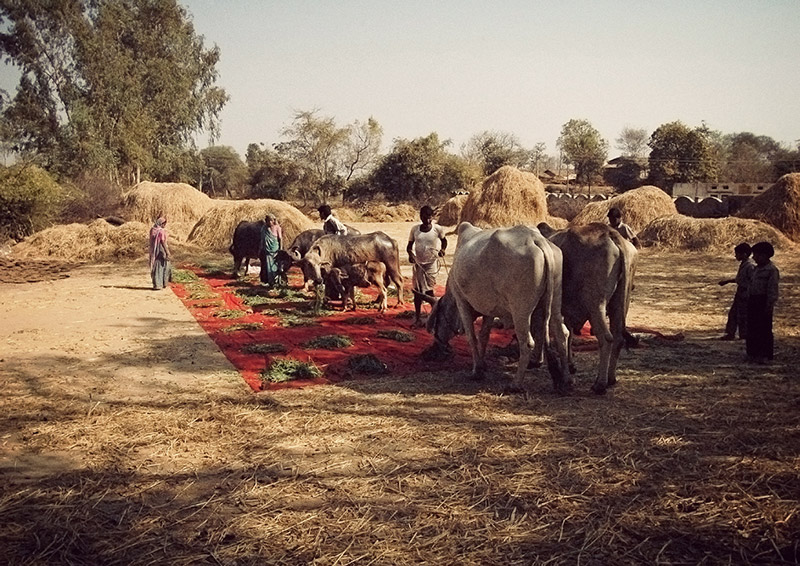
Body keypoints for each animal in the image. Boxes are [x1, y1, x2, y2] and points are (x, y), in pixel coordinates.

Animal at [424, 222, 570, 393]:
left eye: (437, 322)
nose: (436, 346)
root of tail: (536, 239)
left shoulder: (462, 302)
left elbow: (472, 337)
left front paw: (477, 371)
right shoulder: (490, 310)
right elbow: (484, 336)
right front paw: (483, 365)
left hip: (520, 310)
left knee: (527, 342)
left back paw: (515, 384)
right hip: (555, 301)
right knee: (561, 334)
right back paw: (566, 380)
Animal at [538, 222, 637, 395]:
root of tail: (612, 234)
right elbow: (569, 335)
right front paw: (570, 365)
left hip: (596, 305)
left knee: (606, 338)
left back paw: (600, 384)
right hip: (620, 304)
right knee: (618, 337)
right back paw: (610, 378)